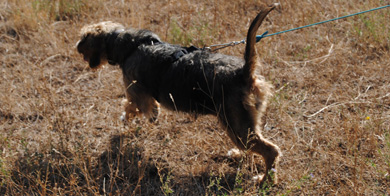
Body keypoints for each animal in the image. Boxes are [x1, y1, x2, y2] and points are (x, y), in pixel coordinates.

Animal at [77, 4, 280, 185]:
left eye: (84, 37)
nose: (77, 47)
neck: (127, 45)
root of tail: (243, 72)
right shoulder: (145, 100)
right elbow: (149, 109)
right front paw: (152, 117)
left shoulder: (137, 97)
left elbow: (128, 109)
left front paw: (125, 122)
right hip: (243, 127)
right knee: (255, 146)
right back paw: (238, 155)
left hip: (238, 126)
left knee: (271, 151)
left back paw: (264, 180)